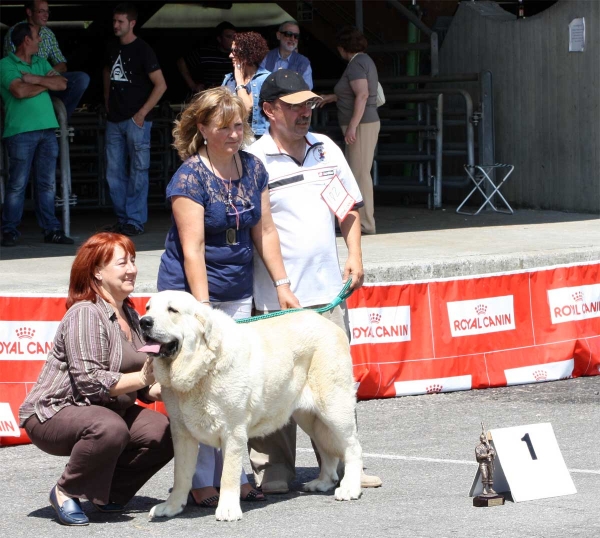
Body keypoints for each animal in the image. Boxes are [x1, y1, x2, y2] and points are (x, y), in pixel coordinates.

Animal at [142, 288, 360, 520]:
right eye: (148, 308)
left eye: (172, 310)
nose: (144, 321)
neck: (203, 367)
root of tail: (328, 324)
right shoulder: (181, 432)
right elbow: (180, 474)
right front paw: (172, 506)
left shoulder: (233, 431)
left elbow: (228, 474)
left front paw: (228, 509)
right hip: (309, 417)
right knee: (325, 446)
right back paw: (323, 482)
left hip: (334, 407)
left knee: (352, 446)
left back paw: (350, 488)